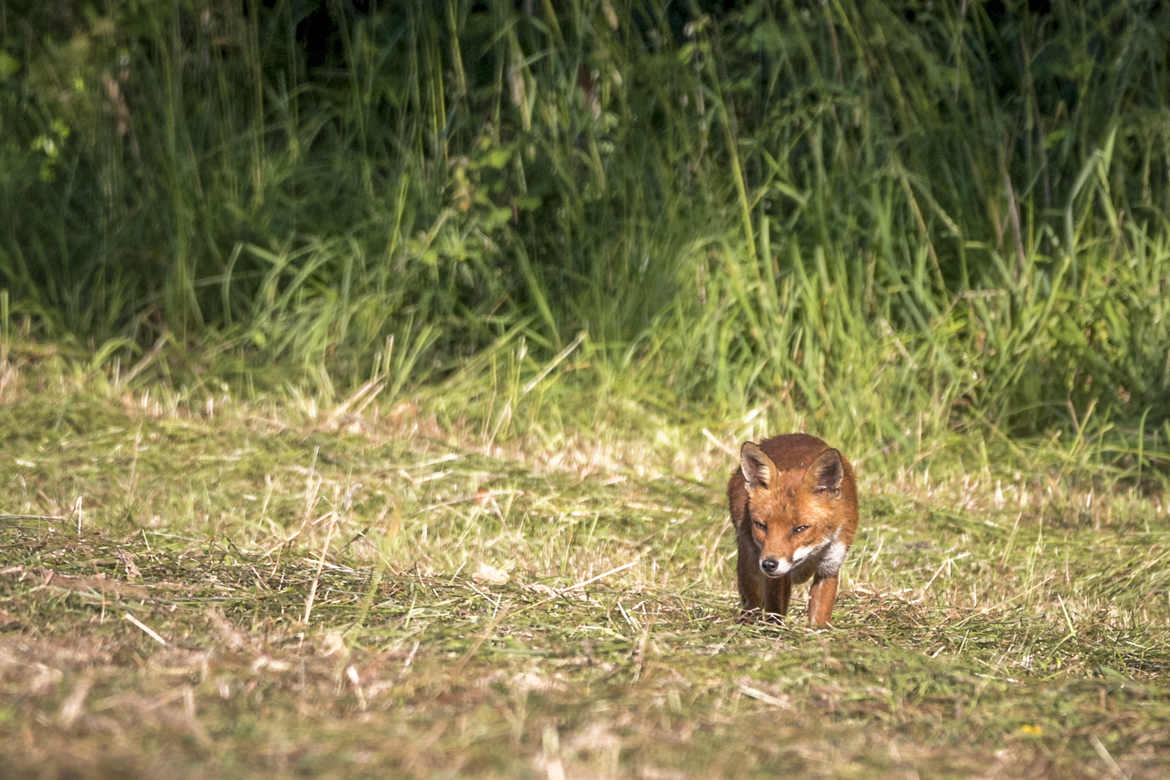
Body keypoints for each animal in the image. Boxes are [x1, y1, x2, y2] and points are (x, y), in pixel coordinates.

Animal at [720, 432, 861, 626]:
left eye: (800, 528)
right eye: (761, 525)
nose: (769, 564)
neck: (808, 555)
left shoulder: (829, 566)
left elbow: (819, 615)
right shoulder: (776, 577)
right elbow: (774, 610)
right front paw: (774, 630)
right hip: (749, 565)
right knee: (752, 603)